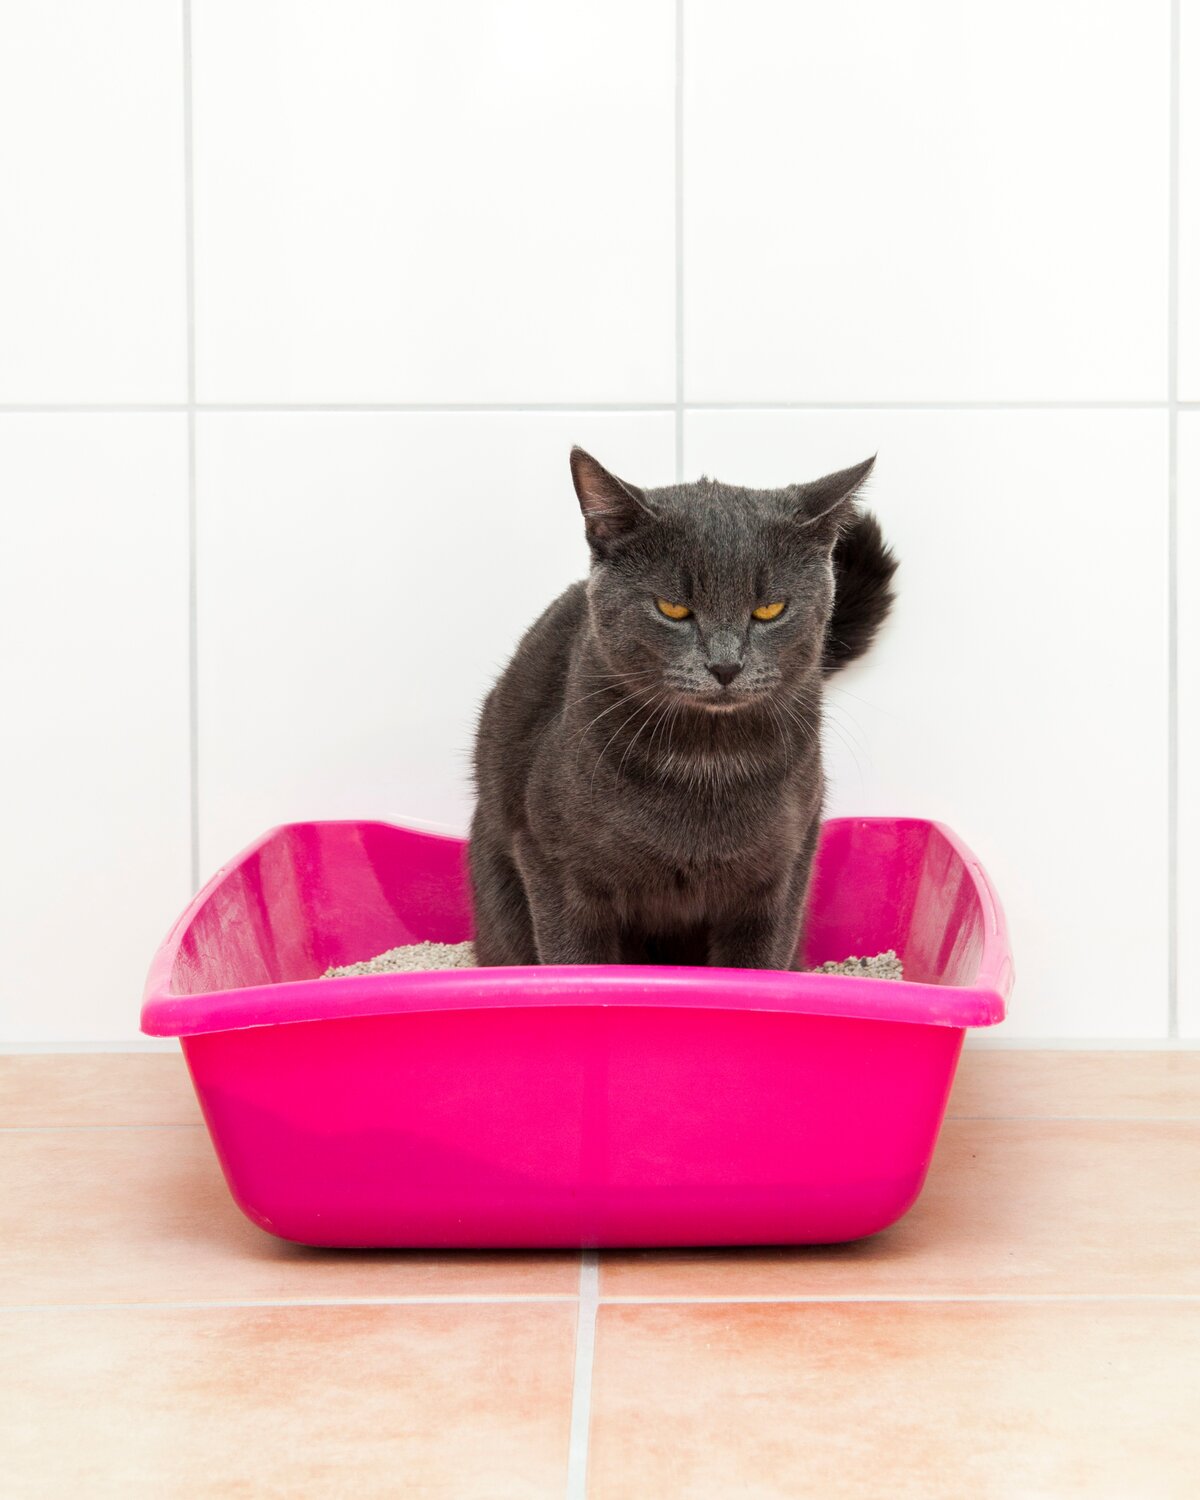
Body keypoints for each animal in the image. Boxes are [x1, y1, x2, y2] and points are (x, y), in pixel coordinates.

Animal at [465, 444, 894, 966]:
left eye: (770, 609)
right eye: (672, 609)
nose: (726, 665)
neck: (705, 761)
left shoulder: (783, 868)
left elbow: (761, 962)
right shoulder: (553, 864)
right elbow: (575, 961)